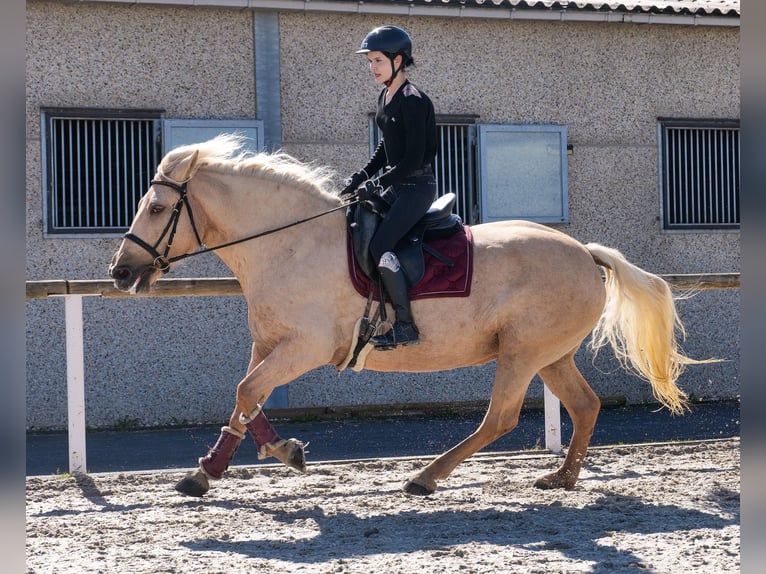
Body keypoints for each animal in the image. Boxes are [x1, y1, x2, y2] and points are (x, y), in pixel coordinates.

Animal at [109, 134, 711, 498]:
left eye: (157, 208)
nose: (120, 271)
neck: (290, 244)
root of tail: (585, 253)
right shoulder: (270, 344)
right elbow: (246, 398)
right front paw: (218, 468)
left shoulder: (304, 348)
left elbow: (245, 391)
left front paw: (257, 459)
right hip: (550, 354)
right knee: (584, 406)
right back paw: (560, 477)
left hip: (523, 352)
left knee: (501, 417)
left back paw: (427, 476)